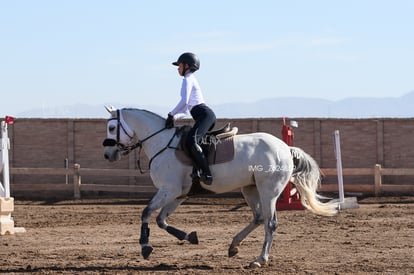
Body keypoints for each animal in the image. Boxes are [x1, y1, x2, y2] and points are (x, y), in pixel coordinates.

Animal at [102, 107, 338, 270]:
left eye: (112, 128)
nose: (108, 155)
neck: (162, 142)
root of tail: (285, 148)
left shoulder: (169, 190)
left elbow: (146, 212)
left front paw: (145, 246)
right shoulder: (178, 194)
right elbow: (161, 220)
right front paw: (190, 237)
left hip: (268, 191)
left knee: (270, 223)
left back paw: (259, 259)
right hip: (250, 189)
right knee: (259, 218)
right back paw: (233, 245)